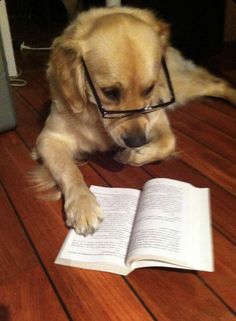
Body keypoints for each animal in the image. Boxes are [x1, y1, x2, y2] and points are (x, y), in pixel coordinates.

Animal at [32, 5, 236, 235]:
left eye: (148, 89)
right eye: (110, 93)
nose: (137, 141)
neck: (98, 118)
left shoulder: (156, 115)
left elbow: (168, 142)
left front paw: (131, 155)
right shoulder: (49, 138)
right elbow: (69, 169)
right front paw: (83, 205)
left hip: (177, 86)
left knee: (216, 83)